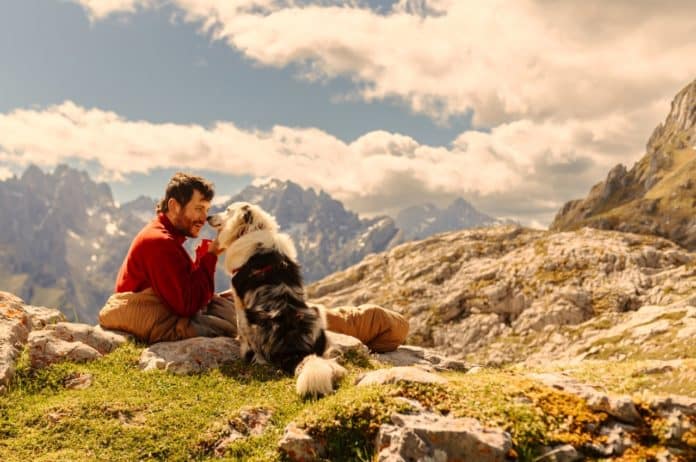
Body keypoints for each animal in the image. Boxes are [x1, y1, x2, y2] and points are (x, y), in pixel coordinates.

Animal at [208, 202, 346, 398]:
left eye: (228, 210)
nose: (208, 217)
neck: (251, 230)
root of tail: (297, 349)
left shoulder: (238, 298)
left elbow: (240, 329)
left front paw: (241, 348)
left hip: (254, 320)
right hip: (317, 312)